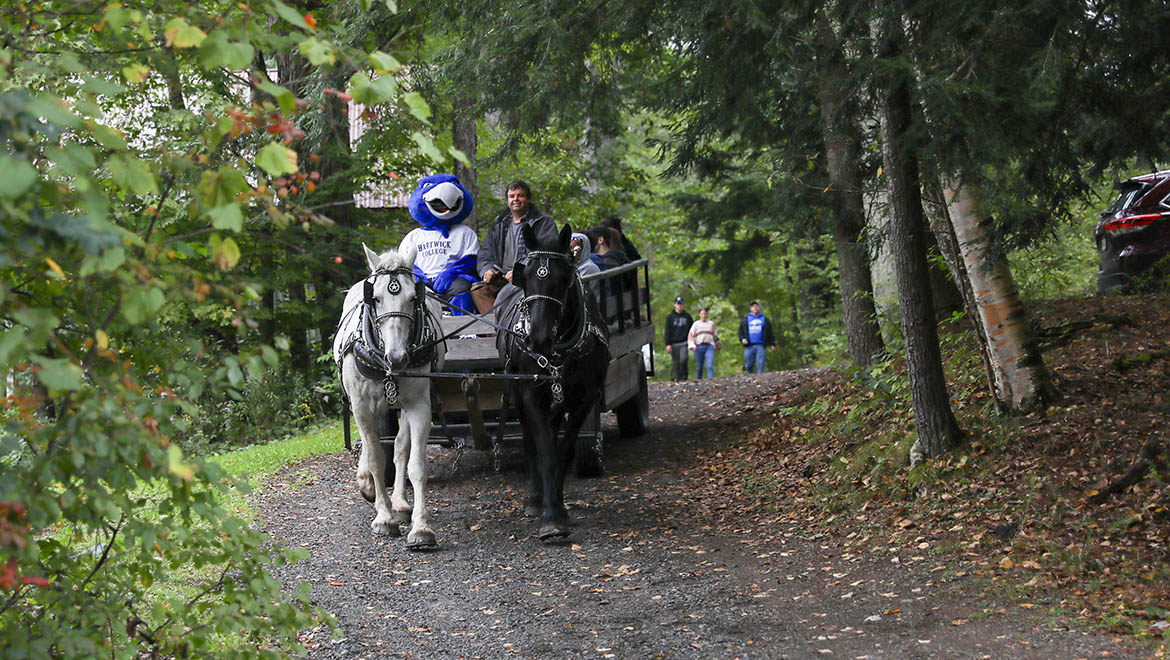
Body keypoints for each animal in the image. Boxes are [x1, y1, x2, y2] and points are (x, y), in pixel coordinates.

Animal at [332, 244, 444, 550]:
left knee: (399, 447)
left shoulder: (418, 405)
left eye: (412, 297)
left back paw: (401, 504)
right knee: (373, 447)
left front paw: (421, 528)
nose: (398, 357)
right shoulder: (361, 407)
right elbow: (375, 459)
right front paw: (383, 517)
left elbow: (415, 464)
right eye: (376, 298)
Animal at [500, 221, 613, 540]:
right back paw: (535, 500)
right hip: (517, 394)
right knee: (531, 444)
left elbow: (564, 452)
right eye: (524, 275)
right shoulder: (531, 395)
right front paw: (549, 518)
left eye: (564, 278)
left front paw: (559, 510)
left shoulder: (584, 399)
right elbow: (545, 453)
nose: (538, 339)